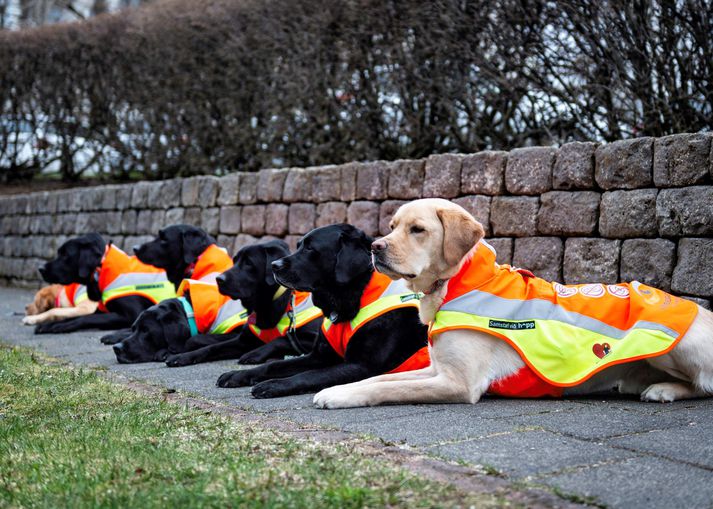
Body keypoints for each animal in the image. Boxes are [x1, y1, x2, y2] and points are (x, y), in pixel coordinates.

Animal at [112, 240, 322, 364]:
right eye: (235, 260)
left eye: (249, 263)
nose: (117, 349)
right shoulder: (243, 339)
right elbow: (210, 347)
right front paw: (181, 356)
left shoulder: (308, 337)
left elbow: (279, 339)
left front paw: (254, 354)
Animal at [214, 224, 428, 398]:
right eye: (298, 245)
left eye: (310, 248)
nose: (274, 265)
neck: (351, 298)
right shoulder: (318, 356)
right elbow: (274, 364)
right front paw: (239, 375)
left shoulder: (361, 365)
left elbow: (309, 375)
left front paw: (273, 385)